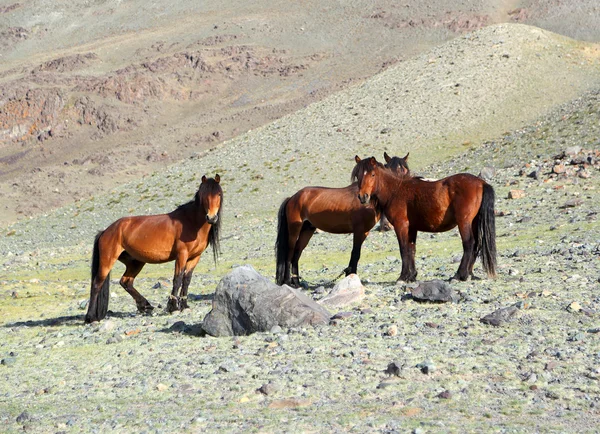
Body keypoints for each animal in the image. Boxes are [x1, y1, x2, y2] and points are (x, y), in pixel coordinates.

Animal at [85, 174, 223, 322]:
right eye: (204, 195)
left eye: (218, 194)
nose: (211, 217)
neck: (191, 222)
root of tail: (106, 231)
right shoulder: (182, 255)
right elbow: (178, 278)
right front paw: (173, 307)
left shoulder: (195, 257)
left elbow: (187, 279)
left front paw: (184, 306)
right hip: (108, 261)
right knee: (97, 284)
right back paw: (90, 317)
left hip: (136, 262)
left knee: (126, 282)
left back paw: (145, 305)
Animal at [276, 154, 408, 286]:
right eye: (358, 175)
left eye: (372, 174)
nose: (363, 197)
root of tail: (293, 198)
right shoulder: (358, 231)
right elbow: (355, 253)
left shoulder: (364, 232)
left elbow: (355, 254)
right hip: (294, 229)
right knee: (290, 253)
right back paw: (287, 281)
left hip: (307, 230)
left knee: (297, 253)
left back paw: (297, 282)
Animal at [354, 158, 494, 284]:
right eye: (358, 175)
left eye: (372, 174)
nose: (362, 197)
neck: (396, 190)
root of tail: (481, 183)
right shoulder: (412, 228)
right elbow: (411, 249)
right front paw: (411, 276)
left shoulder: (401, 225)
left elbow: (403, 249)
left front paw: (402, 277)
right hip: (474, 222)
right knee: (476, 245)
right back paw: (469, 274)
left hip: (464, 222)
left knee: (469, 244)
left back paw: (460, 275)